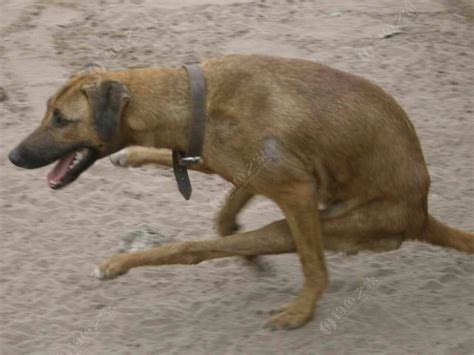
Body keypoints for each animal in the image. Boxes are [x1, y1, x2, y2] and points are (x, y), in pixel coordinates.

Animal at [8, 54, 474, 330]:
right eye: (47, 111)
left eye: (61, 119)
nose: (13, 156)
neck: (193, 100)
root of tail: (419, 213)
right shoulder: (239, 172)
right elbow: (222, 213)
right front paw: (133, 156)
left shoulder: (296, 192)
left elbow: (309, 265)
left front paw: (300, 308)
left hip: (308, 225)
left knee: (196, 249)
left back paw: (118, 263)